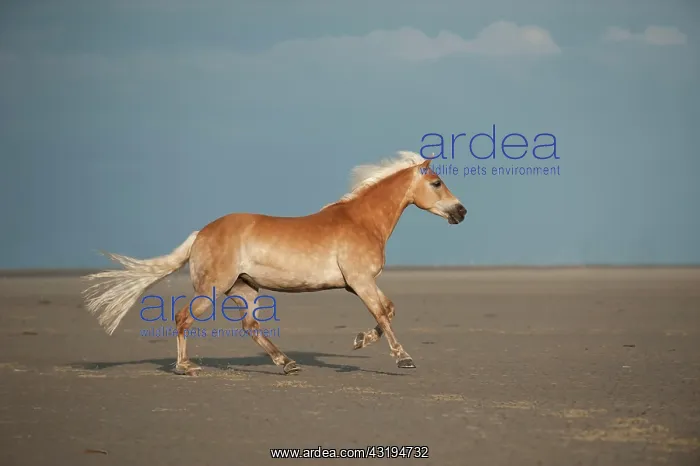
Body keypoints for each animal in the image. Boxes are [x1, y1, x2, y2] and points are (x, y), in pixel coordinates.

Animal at [82, 151, 467, 376]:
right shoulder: (360, 281)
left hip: (245, 289)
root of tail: (202, 233)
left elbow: (388, 311)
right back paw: (185, 366)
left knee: (250, 326)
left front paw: (359, 340)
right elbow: (384, 315)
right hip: (212, 289)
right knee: (182, 317)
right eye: (436, 182)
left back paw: (287, 363)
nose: (461, 212)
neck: (361, 221)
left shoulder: (359, 284)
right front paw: (403, 358)